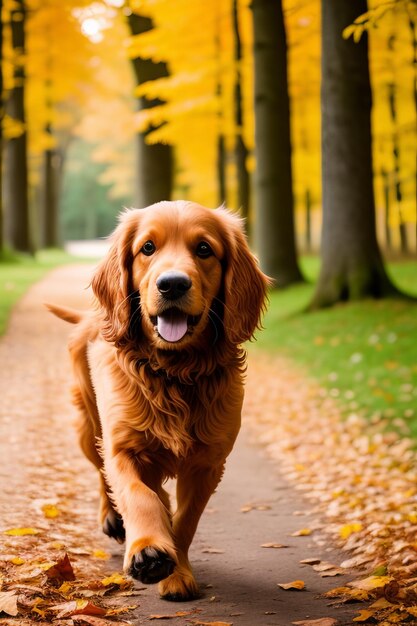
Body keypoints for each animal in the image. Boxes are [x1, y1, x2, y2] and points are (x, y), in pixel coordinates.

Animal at [48, 200, 268, 600]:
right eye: (147, 248)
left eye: (204, 249)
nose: (173, 283)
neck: (173, 373)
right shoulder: (123, 446)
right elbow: (137, 494)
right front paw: (148, 550)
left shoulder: (208, 462)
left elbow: (185, 520)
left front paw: (176, 572)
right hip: (88, 426)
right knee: (102, 474)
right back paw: (113, 518)